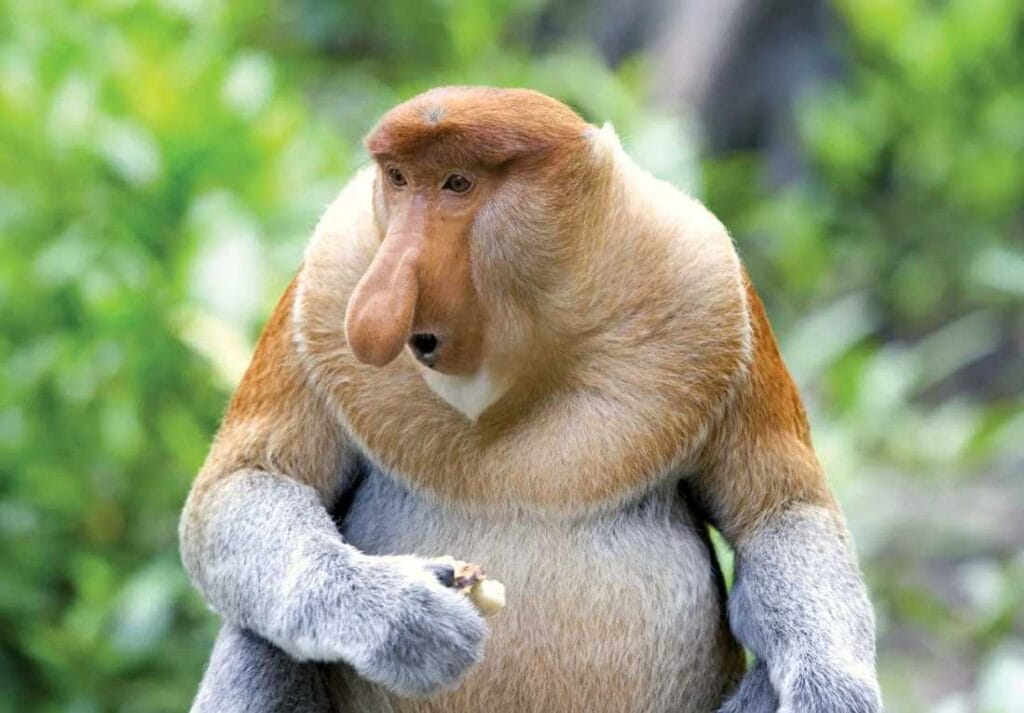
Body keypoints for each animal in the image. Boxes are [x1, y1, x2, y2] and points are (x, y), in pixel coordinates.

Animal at [179, 86, 881, 713]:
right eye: (399, 180)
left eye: (457, 184)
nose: (374, 312)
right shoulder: (328, 277)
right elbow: (243, 484)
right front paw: (403, 616)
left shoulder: (709, 281)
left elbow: (781, 513)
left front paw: (832, 693)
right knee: (260, 635)